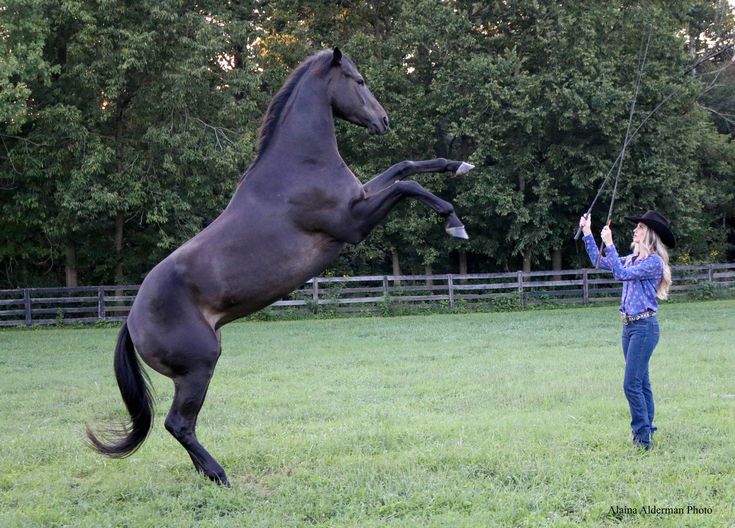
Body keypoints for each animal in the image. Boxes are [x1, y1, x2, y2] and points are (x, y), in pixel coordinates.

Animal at [87, 49, 478, 486]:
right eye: (358, 81)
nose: (384, 121)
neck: (299, 166)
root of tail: (131, 319)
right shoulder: (352, 223)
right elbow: (407, 185)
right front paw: (454, 221)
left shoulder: (360, 198)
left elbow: (405, 166)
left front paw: (459, 165)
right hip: (199, 367)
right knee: (178, 424)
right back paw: (220, 475)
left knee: (181, 426)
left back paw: (208, 475)